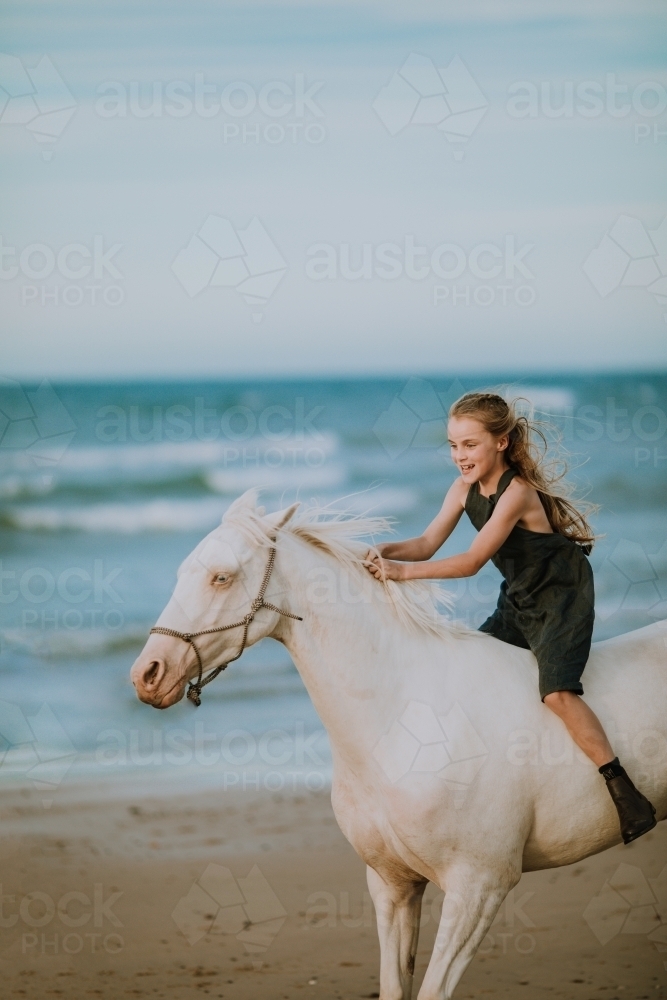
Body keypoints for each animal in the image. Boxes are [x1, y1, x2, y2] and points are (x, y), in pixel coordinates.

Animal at [131, 490, 667, 1000]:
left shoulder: (480, 886)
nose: (147, 675)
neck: (403, 720)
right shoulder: (393, 884)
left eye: (221, 577)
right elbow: (395, 985)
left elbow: (432, 989)